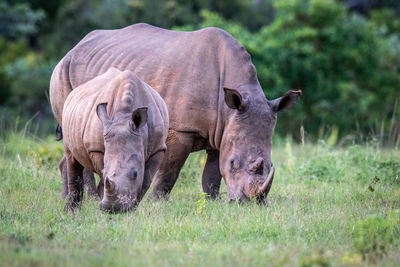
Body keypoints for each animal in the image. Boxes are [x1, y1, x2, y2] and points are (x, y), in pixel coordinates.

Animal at [61, 68, 168, 214]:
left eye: (135, 174)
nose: (113, 208)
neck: (124, 116)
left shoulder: (158, 148)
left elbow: (146, 181)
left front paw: (132, 209)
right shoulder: (96, 148)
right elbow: (103, 174)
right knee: (71, 157)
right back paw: (70, 212)